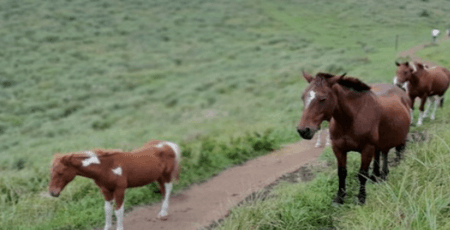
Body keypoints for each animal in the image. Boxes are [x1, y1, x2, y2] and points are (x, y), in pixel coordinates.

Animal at [48, 140, 181, 230]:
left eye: (60, 172)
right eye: (51, 172)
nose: (53, 192)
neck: (106, 168)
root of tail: (169, 144)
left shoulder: (119, 190)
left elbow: (118, 211)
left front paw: (119, 227)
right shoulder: (106, 191)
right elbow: (107, 209)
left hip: (166, 175)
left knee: (168, 190)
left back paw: (163, 213)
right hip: (158, 177)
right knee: (162, 190)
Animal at [298, 72, 410, 205]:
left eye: (323, 99)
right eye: (303, 97)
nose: (303, 130)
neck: (351, 119)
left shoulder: (367, 149)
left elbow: (362, 174)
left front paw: (361, 198)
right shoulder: (338, 148)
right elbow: (341, 172)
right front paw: (339, 198)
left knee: (397, 151)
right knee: (382, 153)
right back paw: (377, 176)